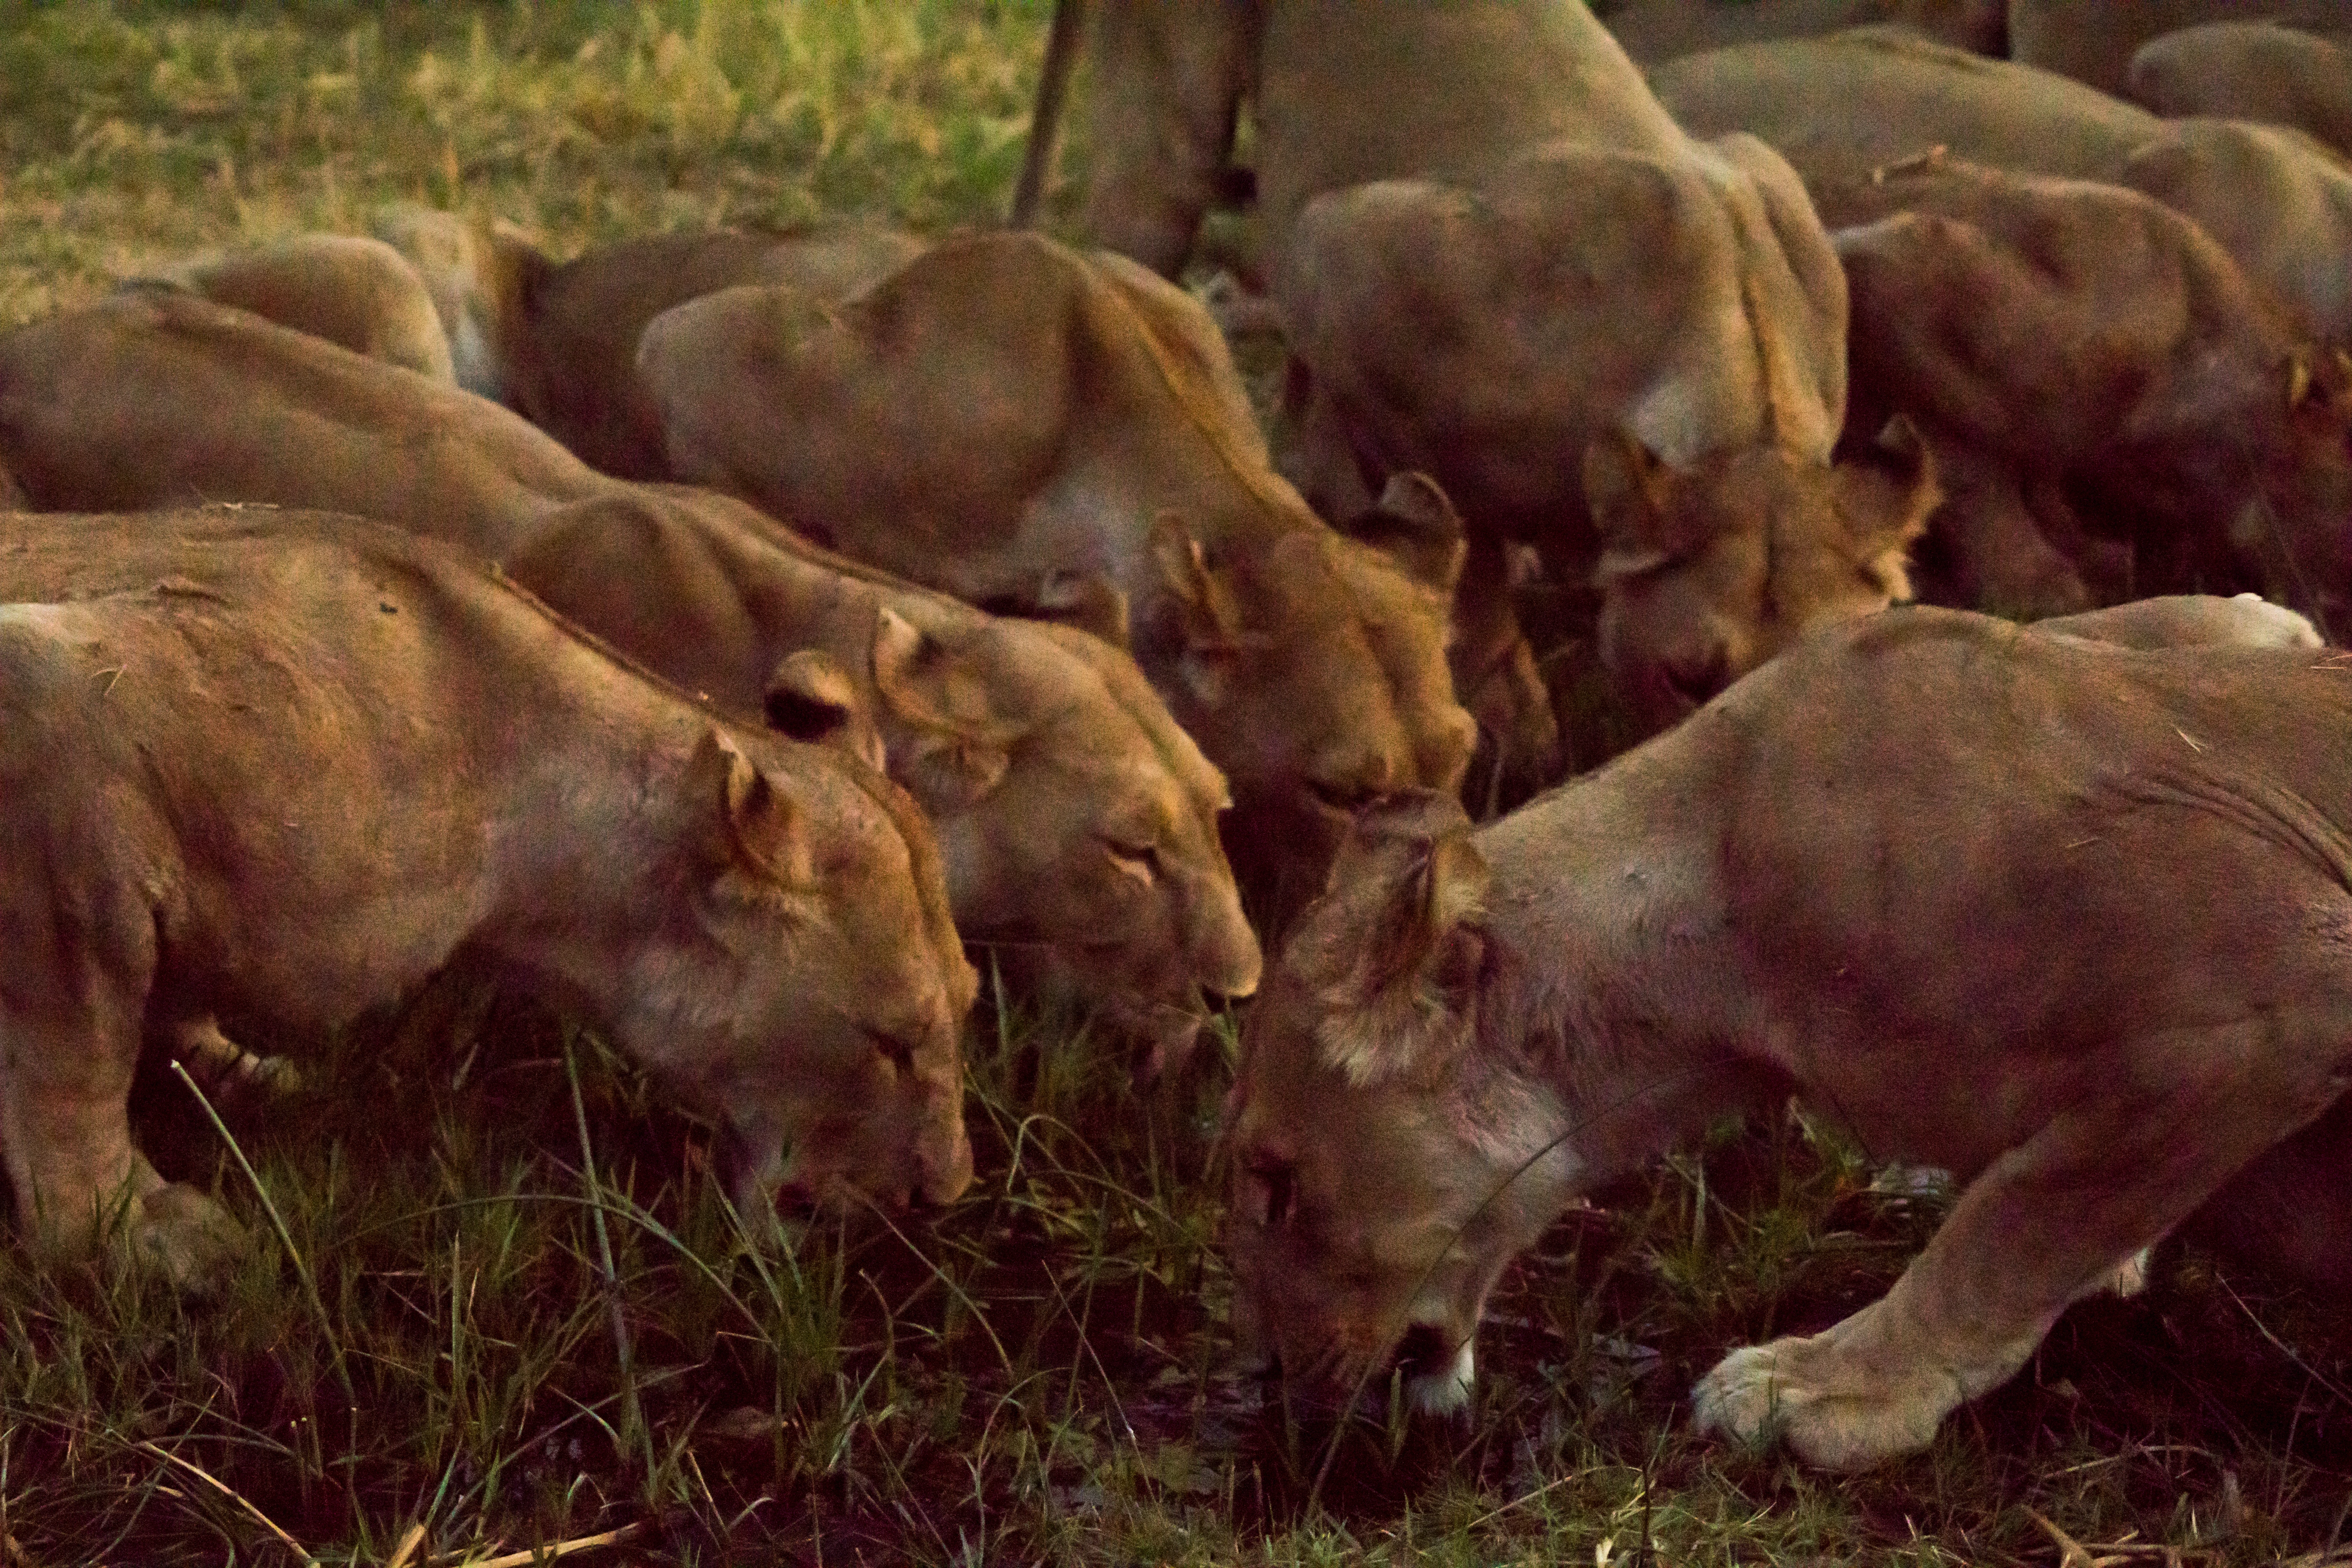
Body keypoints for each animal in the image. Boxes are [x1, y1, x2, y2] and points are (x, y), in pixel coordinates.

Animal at [0, 508, 976, 1284]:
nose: (946, 1193)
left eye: (966, 1007)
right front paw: (122, 1230)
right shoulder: (54, 712)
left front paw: (232, 1075)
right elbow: (76, 1057)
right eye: (892, 1041)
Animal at [1225, 603, 2352, 1471]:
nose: (1271, 1373)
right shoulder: (2240, 626)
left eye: (1276, 1181)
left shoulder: (2279, 985)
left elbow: (2014, 1227)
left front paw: (1827, 1392)